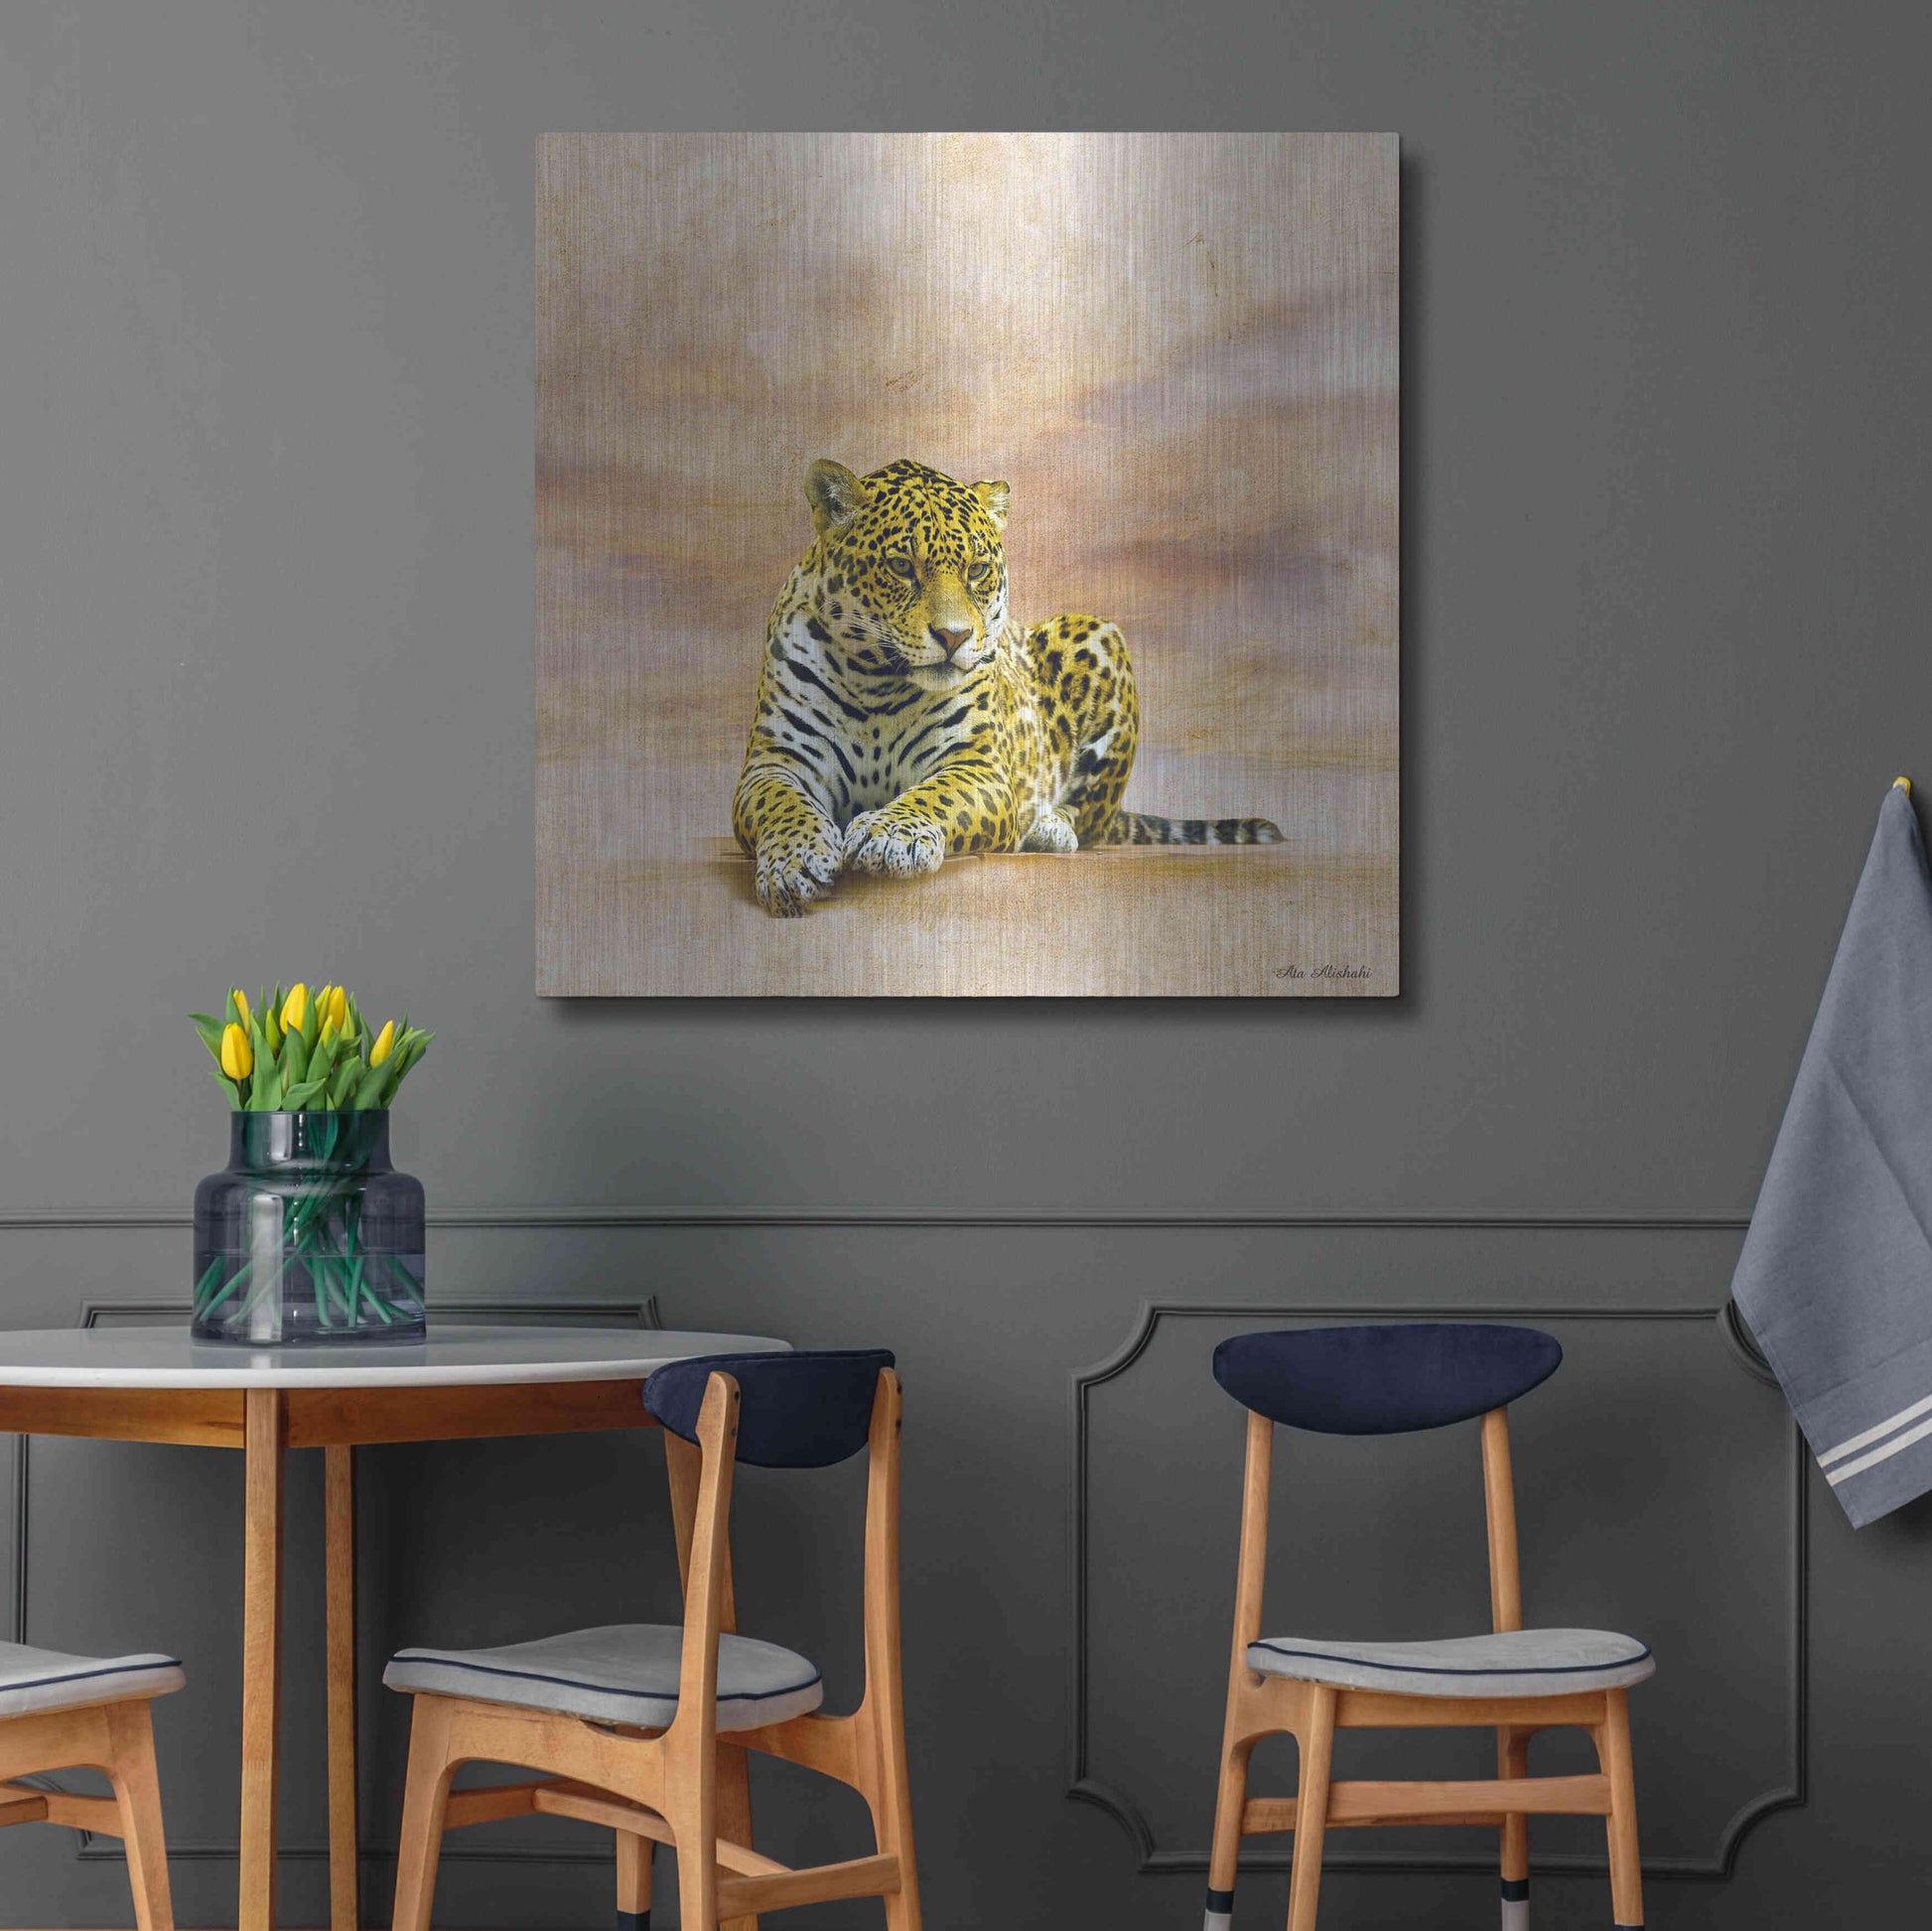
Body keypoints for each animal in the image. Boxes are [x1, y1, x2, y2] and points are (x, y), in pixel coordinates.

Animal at [732, 457, 1283, 916]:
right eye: (901, 566)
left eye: (976, 569)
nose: (954, 637)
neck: (877, 682)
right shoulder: (773, 763)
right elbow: (781, 806)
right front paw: (793, 862)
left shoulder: (980, 768)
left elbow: (936, 794)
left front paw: (890, 835)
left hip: (1097, 633)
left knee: (1093, 817)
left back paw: (1048, 829)